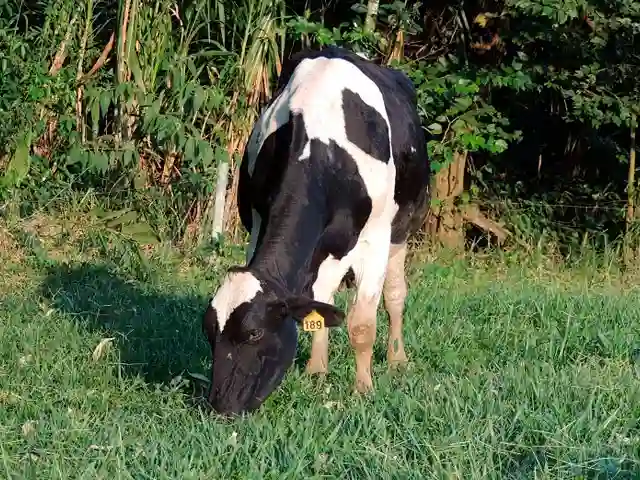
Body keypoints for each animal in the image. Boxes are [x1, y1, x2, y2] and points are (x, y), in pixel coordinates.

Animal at [201, 46, 430, 416]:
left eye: (254, 334)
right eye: (210, 333)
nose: (221, 405)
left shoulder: (375, 240)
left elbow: (362, 323)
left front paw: (363, 389)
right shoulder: (258, 222)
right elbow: (319, 309)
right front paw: (316, 373)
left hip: (402, 230)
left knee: (395, 296)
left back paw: (397, 359)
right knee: (324, 297)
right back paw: (318, 368)